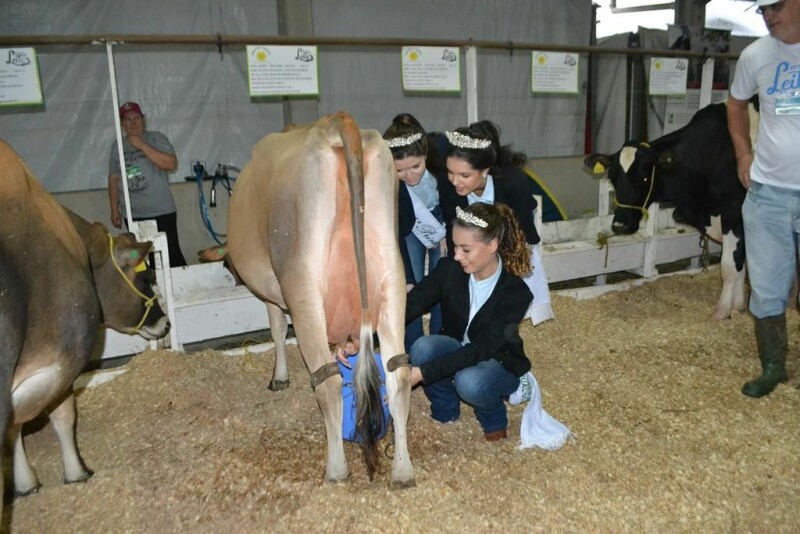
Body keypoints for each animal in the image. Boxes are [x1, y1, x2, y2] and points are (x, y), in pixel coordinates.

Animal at [0, 137, 169, 510]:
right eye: (147, 278)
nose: (165, 324)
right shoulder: (61, 361)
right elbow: (61, 416)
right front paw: (75, 472)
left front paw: (25, 481)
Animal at [225, 111, 412, 488]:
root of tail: (335, 124)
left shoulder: (271, 289)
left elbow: (277, 328)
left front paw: (279, 378)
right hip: (392, 280)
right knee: (398, 374)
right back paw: (403, 471)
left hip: (303, 286)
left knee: (328, 381)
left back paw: (336, 470)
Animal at [584, 103, 748, 322]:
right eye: (613, 177)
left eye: (644, 178)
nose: (620, 225)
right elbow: (742, 264)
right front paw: (738, 307)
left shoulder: (734, 215)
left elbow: (730, 266)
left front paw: (721, 312)